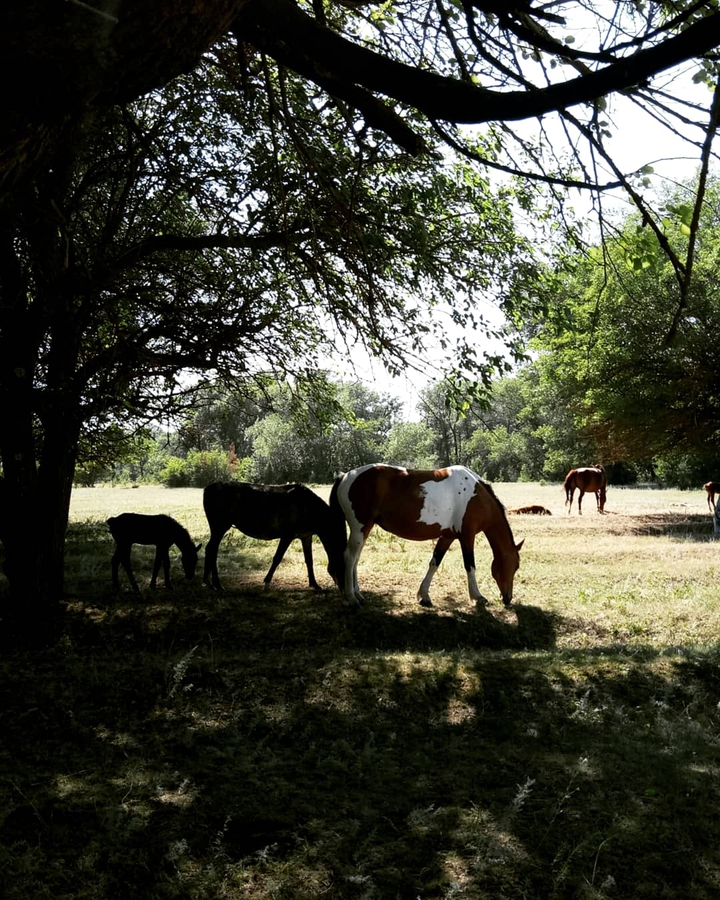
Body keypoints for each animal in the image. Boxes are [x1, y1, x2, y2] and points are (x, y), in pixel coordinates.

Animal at [202, 481, 346, 591]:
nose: (344, 587)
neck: (309, 509)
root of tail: (207, 489)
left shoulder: (306, 536)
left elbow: (309, 560)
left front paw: (315, 584)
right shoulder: (288, 534)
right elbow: (277, 558)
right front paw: (266, 582)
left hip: (217, 527)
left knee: (210, 549)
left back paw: (208, 582)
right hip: (220, 525)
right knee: (212, 549)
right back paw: (216, 584)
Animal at [330, 464, 523, 608]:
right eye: (513, 566)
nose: (508, 598)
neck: (477, 496)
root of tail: (345, 476)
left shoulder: (447, 536)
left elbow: (434, 563)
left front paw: (424, 596)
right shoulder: (466, 536)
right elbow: (470, 566)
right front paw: (477, 596)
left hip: (365, 528)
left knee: (355, 558)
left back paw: (358, 594)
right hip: (359, 527)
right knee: (349, 557)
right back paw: (351, 598)